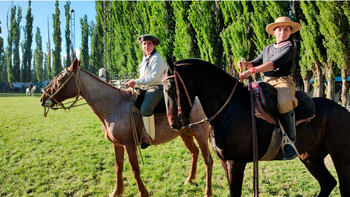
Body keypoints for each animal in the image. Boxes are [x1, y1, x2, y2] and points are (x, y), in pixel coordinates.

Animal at [38, 58, 213, 197]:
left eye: (61, 78)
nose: (43, 97)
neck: (114, 105)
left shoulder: (129, 145)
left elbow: (135, 170)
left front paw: (143, 193)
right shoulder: (117, 144)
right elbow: (118, 167)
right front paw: (117, 192)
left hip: (200, 133)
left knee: (208, 160)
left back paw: (207, 192)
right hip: (186, 133)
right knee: (194, 153)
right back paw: (189, 179)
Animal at [163, 57, 350, 196]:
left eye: (171, 89)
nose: (173, 124)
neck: (229, 109)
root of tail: (344, 110)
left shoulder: (236, 162)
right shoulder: (224, 161)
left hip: (340, 155)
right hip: (310, 156)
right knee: (327, 183)